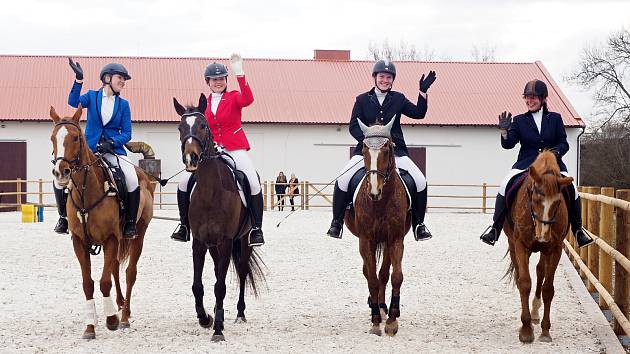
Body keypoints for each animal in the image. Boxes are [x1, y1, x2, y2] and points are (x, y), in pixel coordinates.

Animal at [49, 103, 156, 338]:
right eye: (53, 137)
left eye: (75, 138)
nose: (60, 173)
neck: (86, 191)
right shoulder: (79, 242)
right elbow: (88, 283)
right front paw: (90, 326)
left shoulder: (110, 239)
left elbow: (104, 282)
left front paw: (111, 320)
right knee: (115, 267)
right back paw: (119, 304)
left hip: (138, 234)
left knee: (129, 273)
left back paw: (124, 316)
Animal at [174, 94, 266, 342]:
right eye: (180, 128)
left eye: (203, 125)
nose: (191, 158)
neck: (210, 192)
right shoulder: (199, 242)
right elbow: (198, 286)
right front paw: (205, 318)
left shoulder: (225, 241)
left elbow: (220, 287)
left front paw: (217, 329)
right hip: (213, 246)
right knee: (217, 272)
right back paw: (219, 313)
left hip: (242, 241)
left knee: (241, 273)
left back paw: (239, 314)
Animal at [344, 117, 412, 336]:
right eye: (365, 149)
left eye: (388, 149)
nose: (374, 191)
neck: (380, 203)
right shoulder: (366, 240)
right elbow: (372, 278)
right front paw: (375, 321)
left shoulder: (396, 239)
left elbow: (395, 277)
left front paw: (391, 321)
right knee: (369, 272)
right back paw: (375, 307)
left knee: (384, 273)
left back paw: (384, 308)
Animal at [504, 150, 576, 342]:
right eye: (535, 199)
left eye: (558, 203)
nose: (542, 236)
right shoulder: (520, 245)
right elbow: (524, 282)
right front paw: (526, 330)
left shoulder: (555, 248)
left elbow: (548, 288)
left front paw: (545, 331)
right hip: (514, 245)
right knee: (521, 274)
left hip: (545, 250)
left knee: (540, 271)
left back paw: (536, 313)